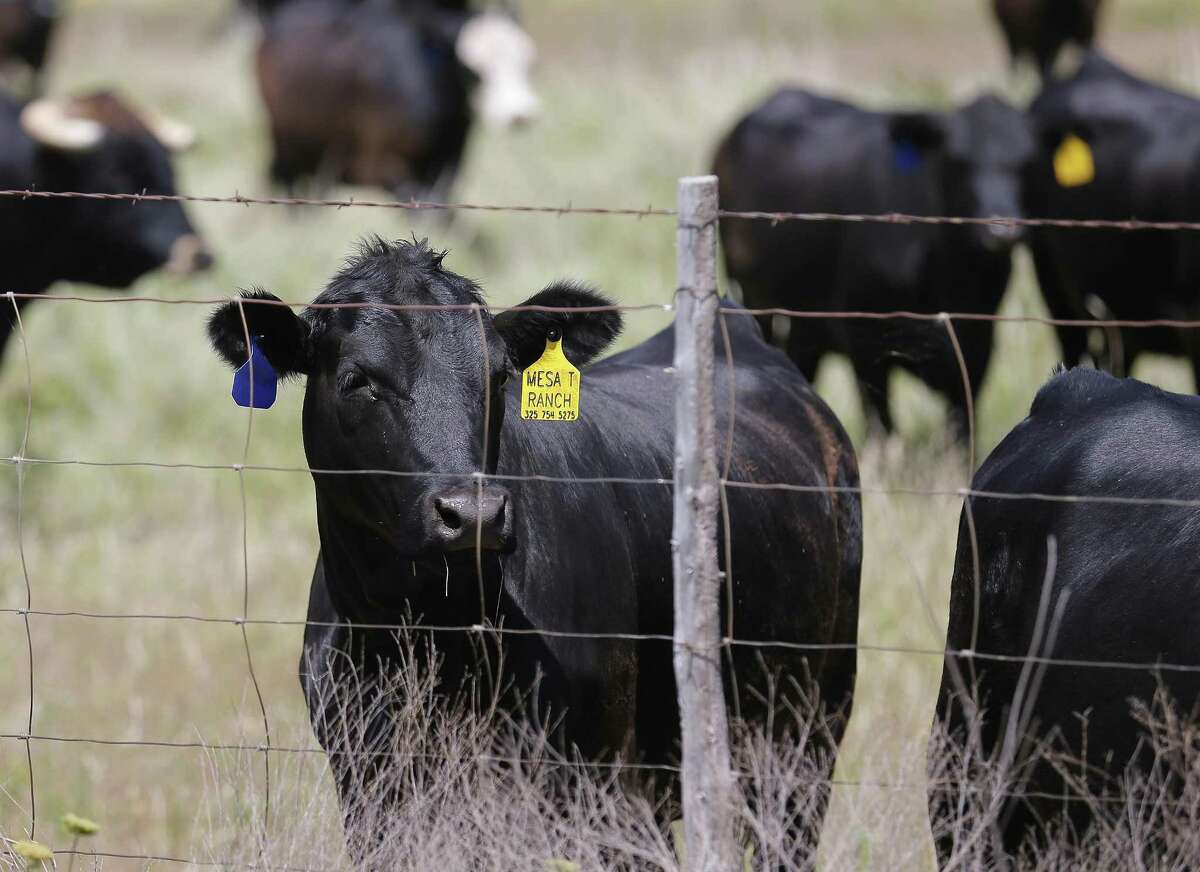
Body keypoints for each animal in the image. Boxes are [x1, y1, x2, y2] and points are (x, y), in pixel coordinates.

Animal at [206, 237, 862, 857]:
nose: (472, 514)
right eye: (357, 380)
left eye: (499, 376)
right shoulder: (372, 793)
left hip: (806, 737)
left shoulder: (610, 792)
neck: (425, 628)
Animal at [256, 0, 538, 202]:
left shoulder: (447, 165)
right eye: (473, 70)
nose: (520, 114)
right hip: (286, 143)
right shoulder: (382, 164)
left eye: (528, 62)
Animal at [714, 88, 1033, 435]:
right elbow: (883, 427)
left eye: (1025, 161)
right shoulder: (864, 342)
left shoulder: (977, 346)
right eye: (959, 160)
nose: (1001, 230)